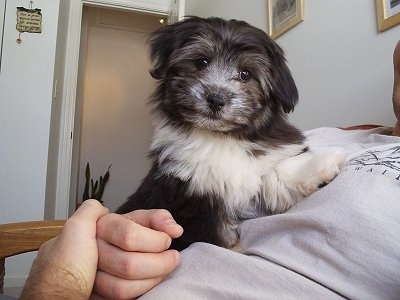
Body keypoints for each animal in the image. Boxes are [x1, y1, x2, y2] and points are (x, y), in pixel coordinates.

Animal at [116, 16, 344, 251]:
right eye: (201, 62)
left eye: (245, 74)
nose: (216, 99)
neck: (223, 137)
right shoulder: (192, 200)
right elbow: (217, 238)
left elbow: (275, 178)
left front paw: (319, 165)